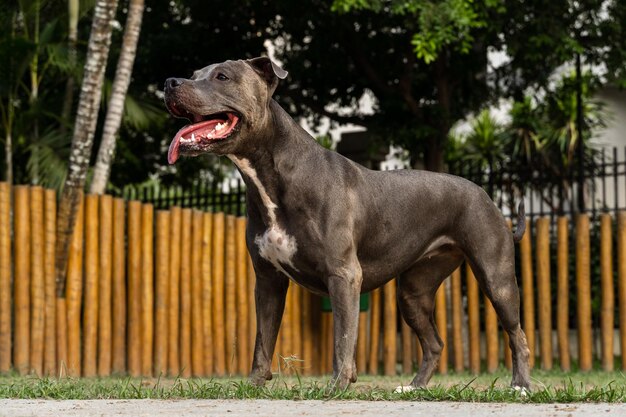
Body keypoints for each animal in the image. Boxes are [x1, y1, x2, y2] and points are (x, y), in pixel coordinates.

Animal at [163, 56, 528, 390]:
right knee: (435, 342)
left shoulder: (343, 275)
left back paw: (521, 385)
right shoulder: (267, 280)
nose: (170, 82)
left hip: (496, 279)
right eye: (195, 73)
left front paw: (338, 384)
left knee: (517, 335)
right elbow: (263, 339)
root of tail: (485, 193)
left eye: (222, 76)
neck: (272, 175)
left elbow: (342, 336)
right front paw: (252, 385)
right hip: (413, 293)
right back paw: (414, 387)